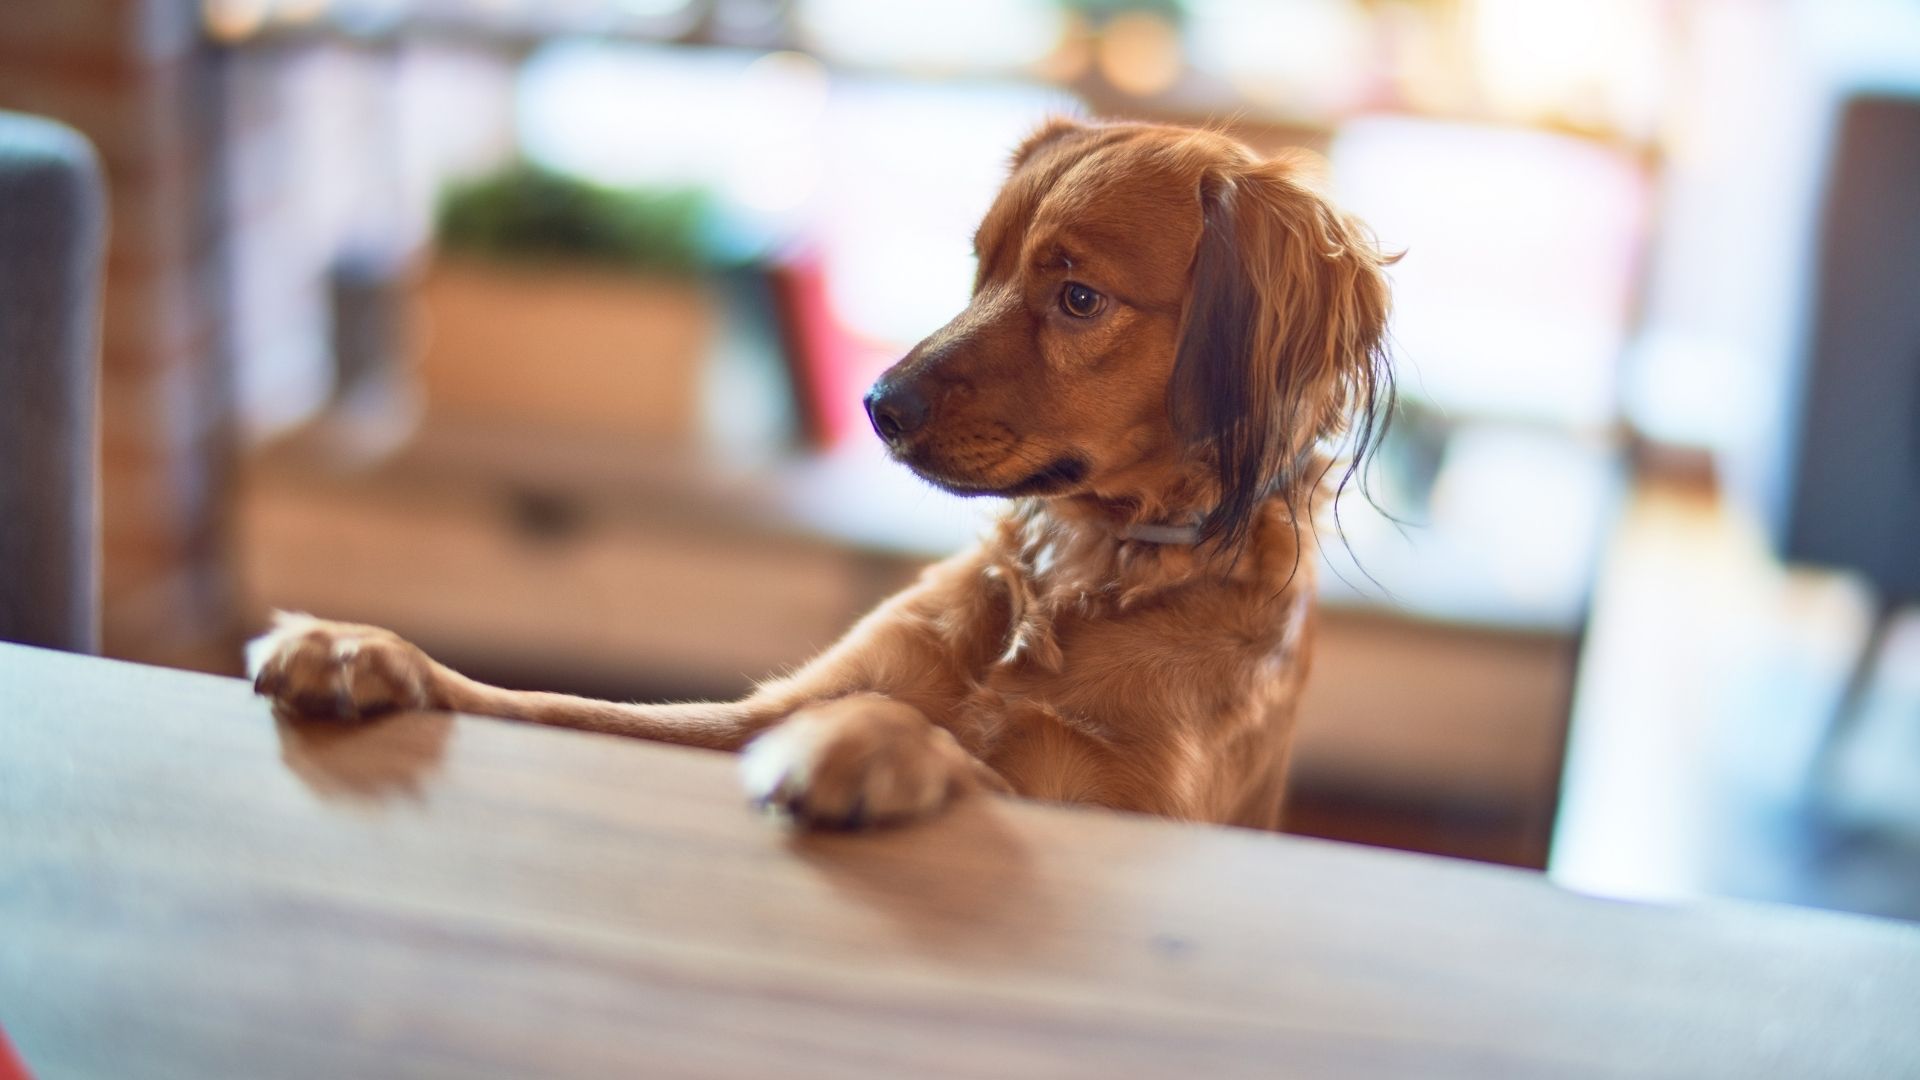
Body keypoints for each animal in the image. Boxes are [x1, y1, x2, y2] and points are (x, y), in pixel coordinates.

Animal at [255, 115, 1397, 822]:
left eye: (1079, 298)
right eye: (980, 265)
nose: (878, 406)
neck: (1075, 580)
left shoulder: (1127, 807)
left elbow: (972, 768)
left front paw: (880, 747)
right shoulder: (763, 711)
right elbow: (555, 706)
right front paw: (368, 651)